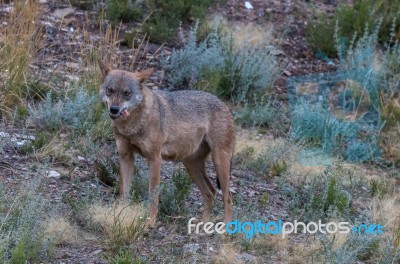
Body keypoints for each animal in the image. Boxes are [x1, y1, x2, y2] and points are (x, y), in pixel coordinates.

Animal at [99, 60, 236, 228]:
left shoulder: (155, 159)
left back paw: (226, 227)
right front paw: (120, 213)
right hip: (191, 165)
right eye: (110, 90)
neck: (132, 125)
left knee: (227, 196)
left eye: (127, 93)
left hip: (219, 163)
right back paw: (203, 226)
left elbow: (153, 194)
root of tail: (225, 106)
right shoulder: (126, 157)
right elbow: (124, 191)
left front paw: (150, 222)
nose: (114, 109)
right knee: (211, 193)